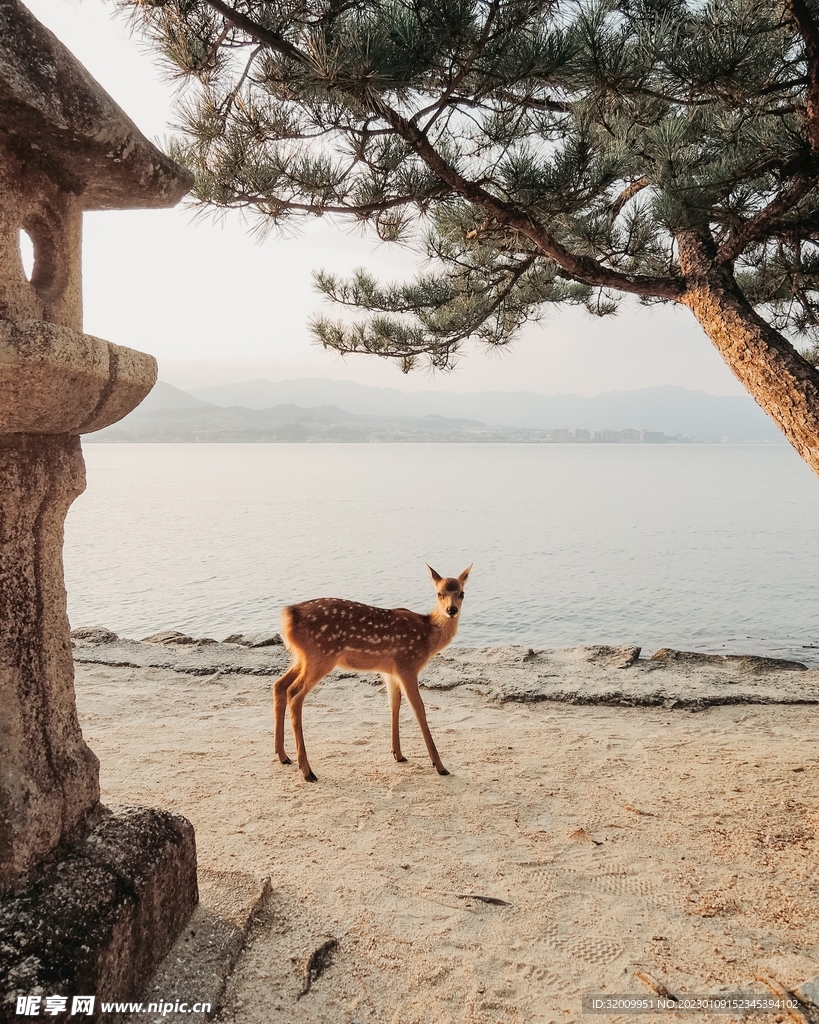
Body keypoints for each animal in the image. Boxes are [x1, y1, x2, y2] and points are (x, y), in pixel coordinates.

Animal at [272, 565, 471, 781]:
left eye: (462, 593)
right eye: (439, 593)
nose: (451, 610)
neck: (427, 637)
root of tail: (288, 616)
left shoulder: (390, 671)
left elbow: (394, 704)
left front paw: (398, 754)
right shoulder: (407, 664)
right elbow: (419, 709)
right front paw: (440, 766)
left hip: (303, 658)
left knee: (279, 685)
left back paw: (283, 756)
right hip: (321, 656)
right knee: (294, 694)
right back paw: (307, 771)